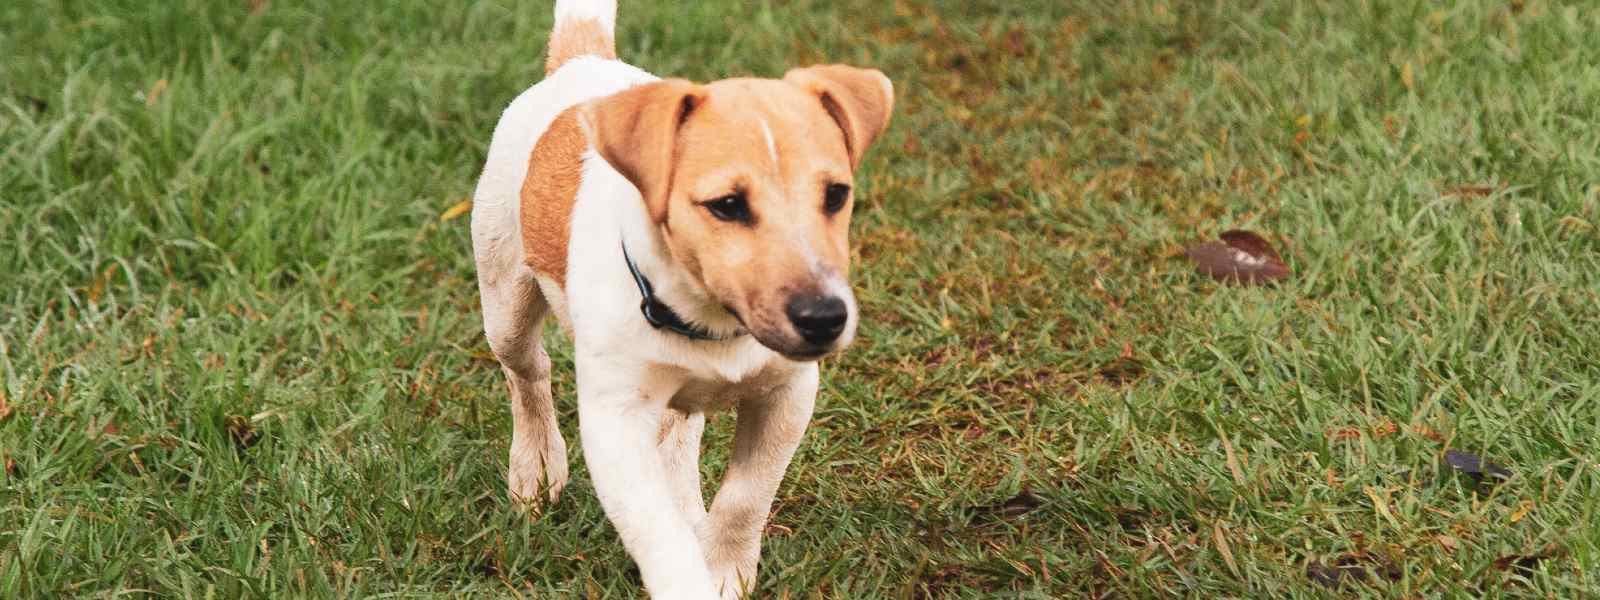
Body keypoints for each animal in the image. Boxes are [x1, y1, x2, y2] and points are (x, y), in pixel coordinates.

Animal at [467, 0, 896, 598]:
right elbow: (659, 535)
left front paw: (724, 569)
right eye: (727, 205)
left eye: (836, 196)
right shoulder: (616, 422)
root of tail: (583, 60)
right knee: (527, 374)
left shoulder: (787, 395)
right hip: (504, 296)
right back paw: (536, 468)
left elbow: (745, 497)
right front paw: (690, 576)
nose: (825, 319)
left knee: (677, 438)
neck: (710, 319)